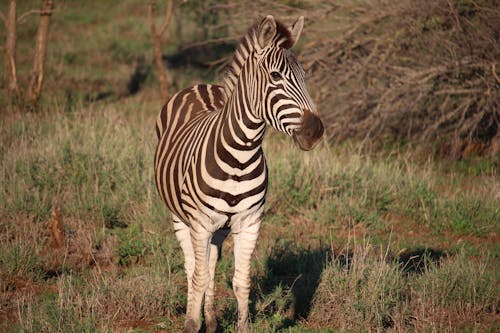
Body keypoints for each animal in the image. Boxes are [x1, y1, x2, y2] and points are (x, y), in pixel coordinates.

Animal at [153, 14, 324, 332]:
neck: (240, 154)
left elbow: (241, 282)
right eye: (275, 77)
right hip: (181, 218)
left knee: (209, 264)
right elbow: (198, 279)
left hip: (219, 228)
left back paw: (211, 320)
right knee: (192, 267)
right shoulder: (199, 223)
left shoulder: (249, 222)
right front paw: (192, 324)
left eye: (305, 75)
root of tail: (199, 84)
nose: (315, 131)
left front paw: (238, 324)